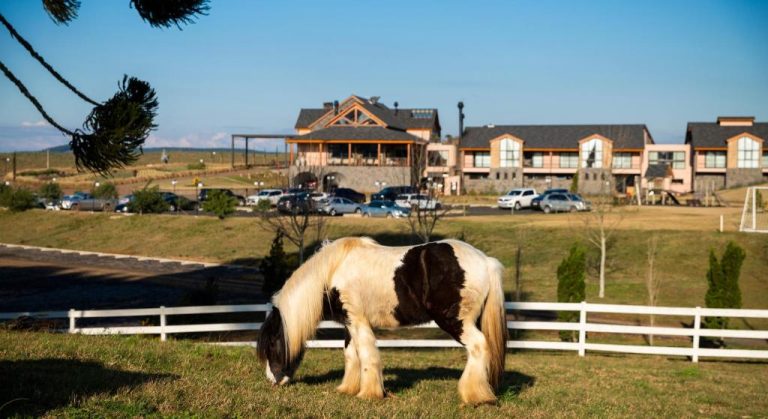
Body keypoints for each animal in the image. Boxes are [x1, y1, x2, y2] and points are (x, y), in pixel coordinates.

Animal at [257, 237, 508, 405]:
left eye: (272, 344)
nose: (272, 380)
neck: (333, 271)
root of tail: (486, 261)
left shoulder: (358, 321)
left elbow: (367, 355)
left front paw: (368, 394)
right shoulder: (350, 323)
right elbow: (351, 354)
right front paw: (348, 388)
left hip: (456, 322)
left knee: (478, 347)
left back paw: (475, 396)